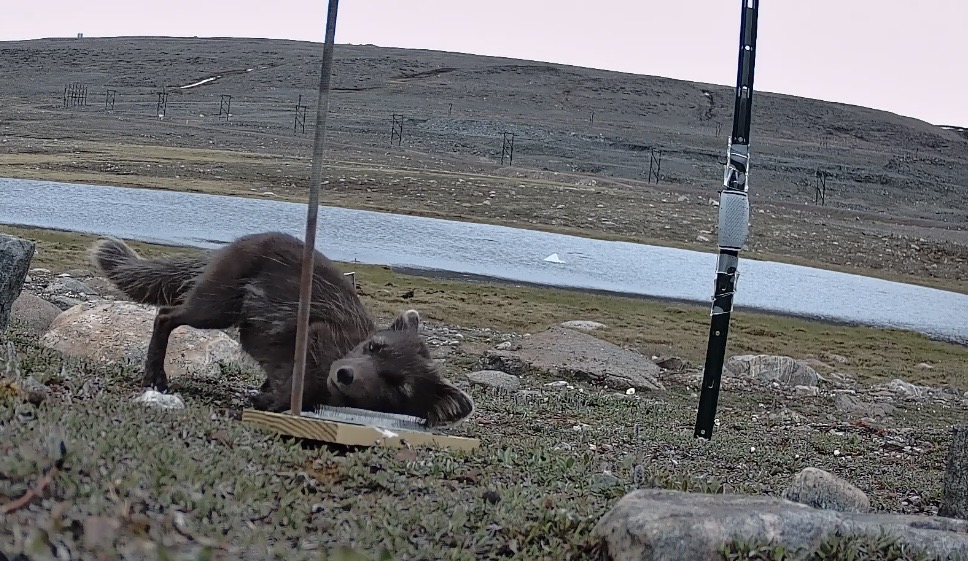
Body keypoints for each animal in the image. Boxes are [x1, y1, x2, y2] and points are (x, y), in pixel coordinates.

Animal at [88, 231, 475, 428]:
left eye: (397, 385)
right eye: (373, 347)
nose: (345, 374)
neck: (342, 350)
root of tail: (244, 239)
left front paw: (266, 396)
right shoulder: (313, 334)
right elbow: (296, 384)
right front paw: (272, 400)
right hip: (215, 306)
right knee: (166, 314)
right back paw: (155, 375)